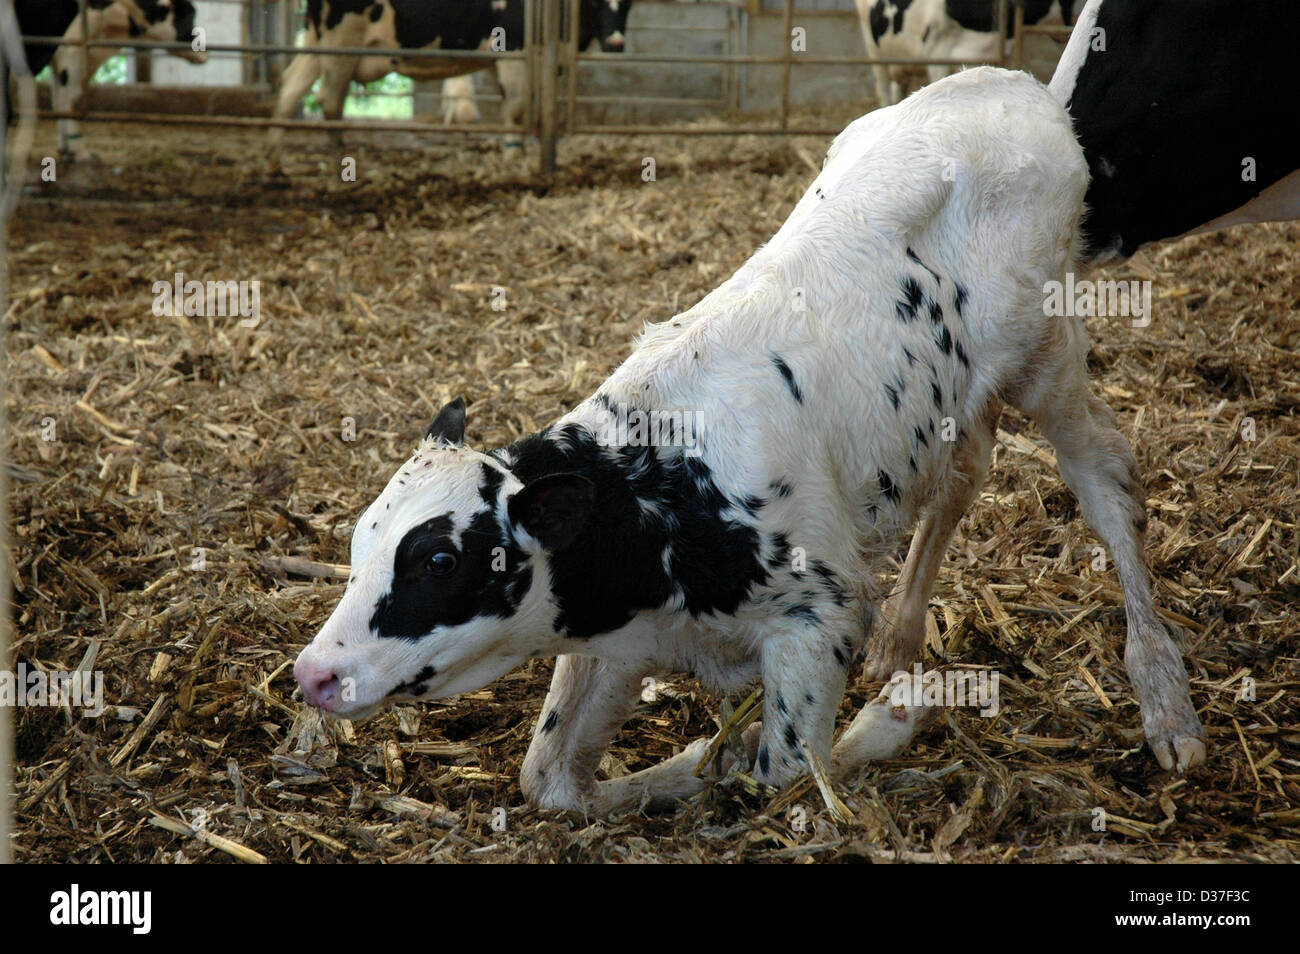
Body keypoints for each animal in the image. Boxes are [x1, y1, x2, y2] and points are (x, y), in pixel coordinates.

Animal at [266, 0, 631, 166]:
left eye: (627, 3)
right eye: (595, 1)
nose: (616, 43)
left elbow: (508, 106)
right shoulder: (515, 49)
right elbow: (516, 108)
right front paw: (514, 155)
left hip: (315, 43)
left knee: (290, 90)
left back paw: (274, 164)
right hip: (340, 45)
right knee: (329, 99)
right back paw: (339, 153)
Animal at [289, 65, 1201, 816]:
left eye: (441, 560)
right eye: (358, 544)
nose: (312, 673)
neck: (665, 487)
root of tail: (1017, 85)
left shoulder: (821, 617)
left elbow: (781, 770)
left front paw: (889, 719)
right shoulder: (617, 638)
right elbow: (550, 780)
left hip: (1050, 351)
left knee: (1107, 481)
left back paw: (1165, 701)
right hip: (952, 401)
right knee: (962, 476)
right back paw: (905, 640)